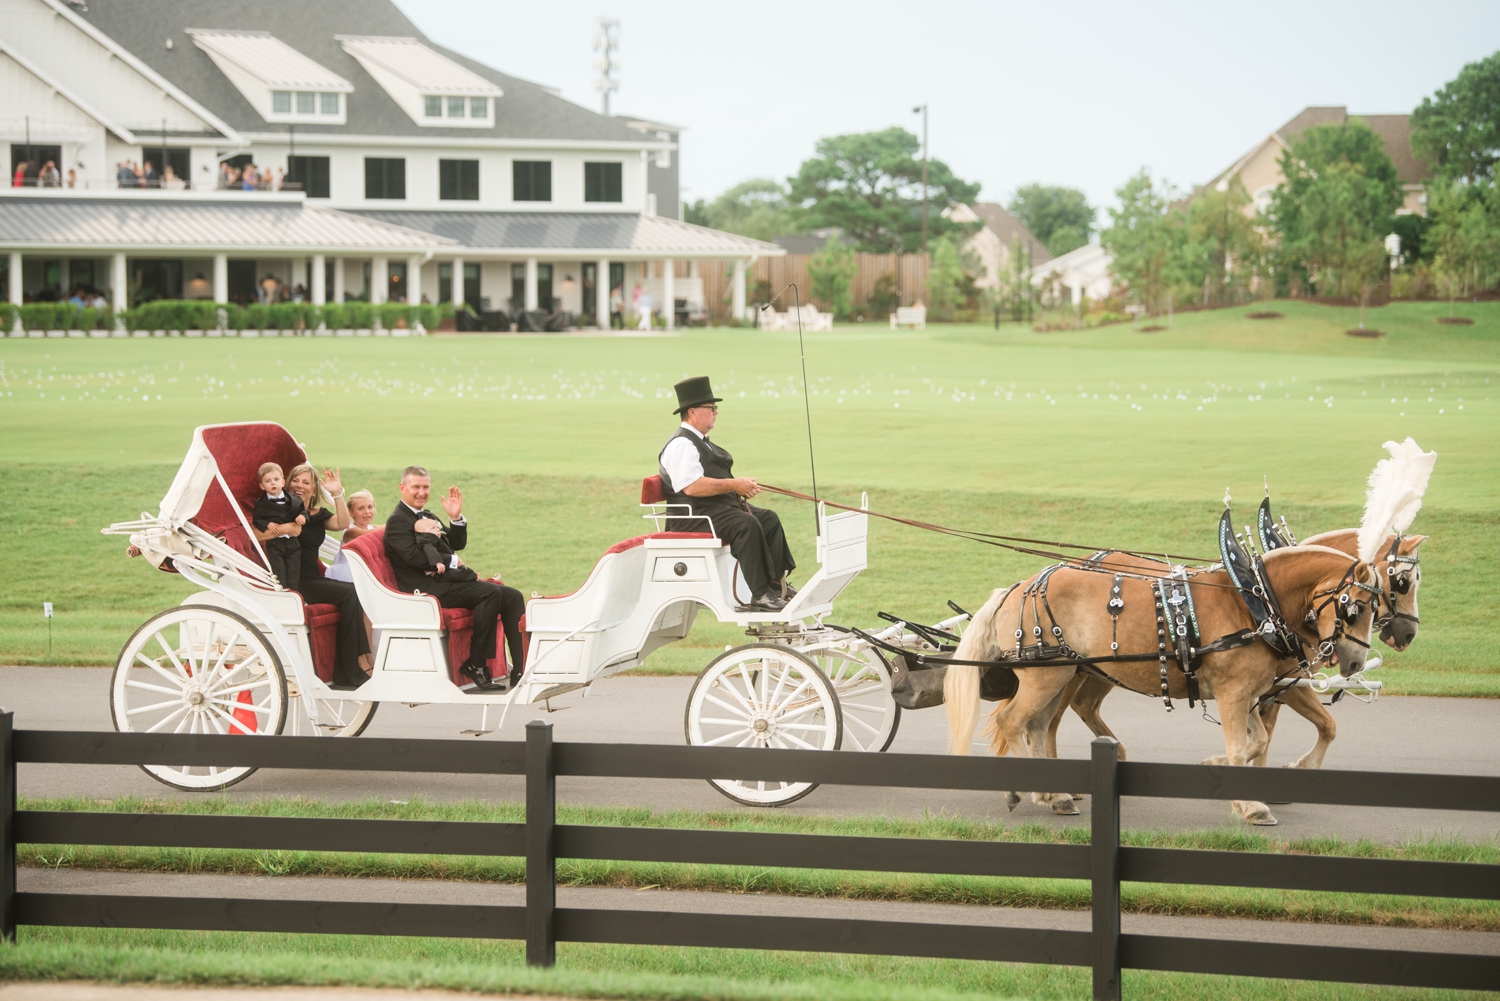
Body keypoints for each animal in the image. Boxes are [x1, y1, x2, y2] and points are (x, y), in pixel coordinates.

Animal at [942, 543, 1374, 828]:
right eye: (1355, 607)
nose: (1355, 661)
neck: (1254, 603)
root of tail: (1017, 588)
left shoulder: (1252, 691)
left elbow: (1261, 741)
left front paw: (1222, 771)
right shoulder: (1235, 692)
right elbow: (1242, 748)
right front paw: (1250, 803)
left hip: (1060, 674)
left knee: (1037, 725)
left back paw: (1056, 793)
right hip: (1046, 676)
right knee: (1013, 723)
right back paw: (1027, 788)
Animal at [1050, 537, 1422, 774]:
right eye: (1355, 608)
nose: (1408, 634)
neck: (1262, 603)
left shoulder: (1275, 684)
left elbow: (1320, 727)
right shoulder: (1273, 686)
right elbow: (1270, 736)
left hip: (1099, 671)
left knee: (1080, 707)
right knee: (1050, 720)